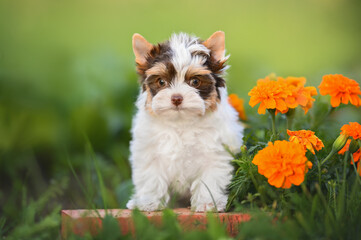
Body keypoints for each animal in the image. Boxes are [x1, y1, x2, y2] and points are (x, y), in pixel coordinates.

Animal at [126, 30, 242, 212]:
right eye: (161, 81)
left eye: (195, 81)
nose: (176, 98)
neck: (181, 123)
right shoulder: (149, 152)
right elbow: (151, 176)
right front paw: (148, 203)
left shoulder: (215, 153)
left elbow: (210, 178)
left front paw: (207, 203)